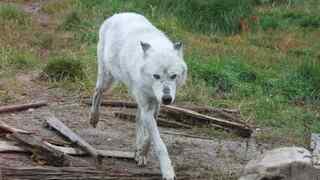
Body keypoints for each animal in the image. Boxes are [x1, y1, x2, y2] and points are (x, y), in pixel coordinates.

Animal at [89, 12, 188, 180]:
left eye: (173, 76)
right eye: (156, 76)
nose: (167, 99)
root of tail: (118, 14)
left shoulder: (155, 105)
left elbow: (149, 136)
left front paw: (141, 153)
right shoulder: (148, 106)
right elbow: (159, 144)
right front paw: (167, 171)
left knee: (137, 119)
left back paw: (137, 150)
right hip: (107, 80)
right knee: (97, 93)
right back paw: (94, 119)